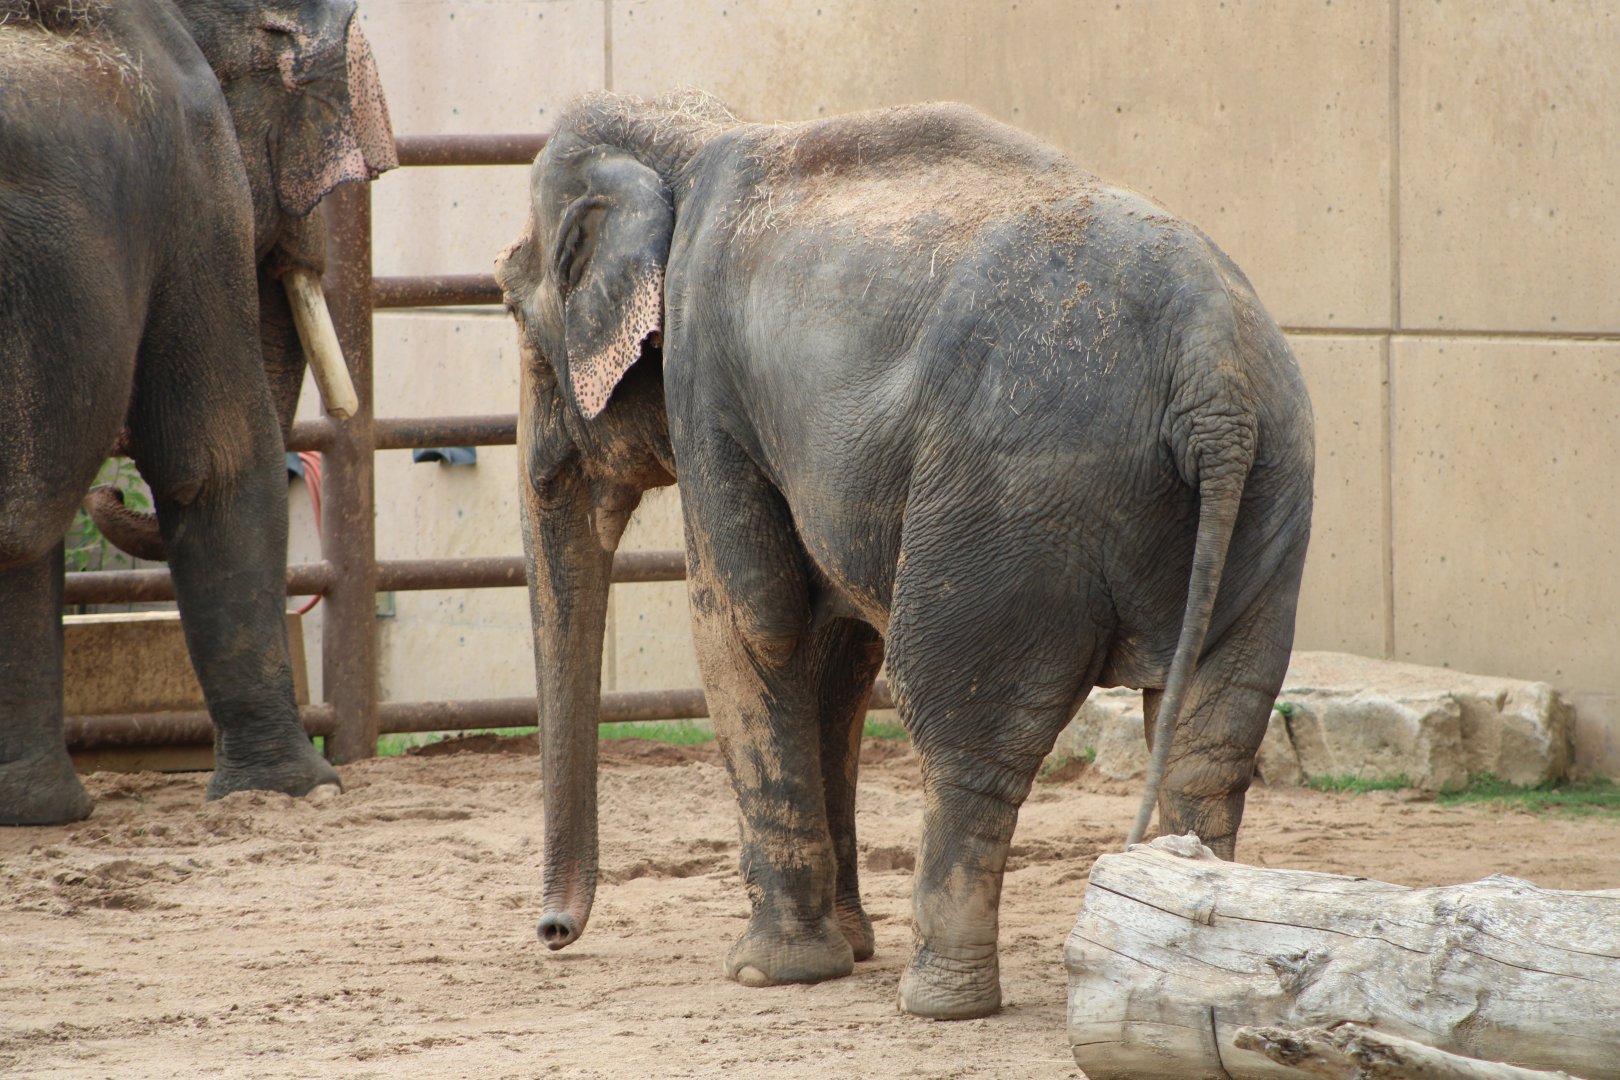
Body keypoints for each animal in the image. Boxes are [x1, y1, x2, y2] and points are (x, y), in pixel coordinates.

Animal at [495, 90, 1314, 1020]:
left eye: (511, 306)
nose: (552, 933)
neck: (694, 132)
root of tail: (1212, 368)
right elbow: (835, 648)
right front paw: (848, 948)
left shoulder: (707, 380)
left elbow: (751, 621)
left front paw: (769, 972)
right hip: (1271, 493)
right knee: (1212, 737)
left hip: (1012, 497)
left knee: (964, 727)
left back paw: (940, 999)